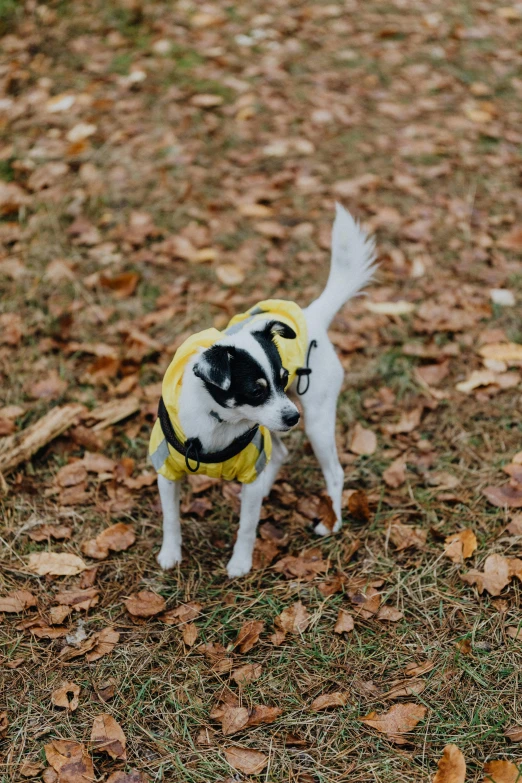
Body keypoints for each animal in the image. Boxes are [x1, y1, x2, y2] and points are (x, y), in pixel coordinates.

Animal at [148, 205, 376, 580]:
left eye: (283, 379)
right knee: (279, 454)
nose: (293, 416)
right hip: (275, 428)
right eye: (256, 390)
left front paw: (240, 563)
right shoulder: (167, 472)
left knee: (335, 473)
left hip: (316, 421)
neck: (218, 422)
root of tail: (312, 315)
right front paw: (170, 553)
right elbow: (171, 518)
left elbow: (247, 527)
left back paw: (332, 522)